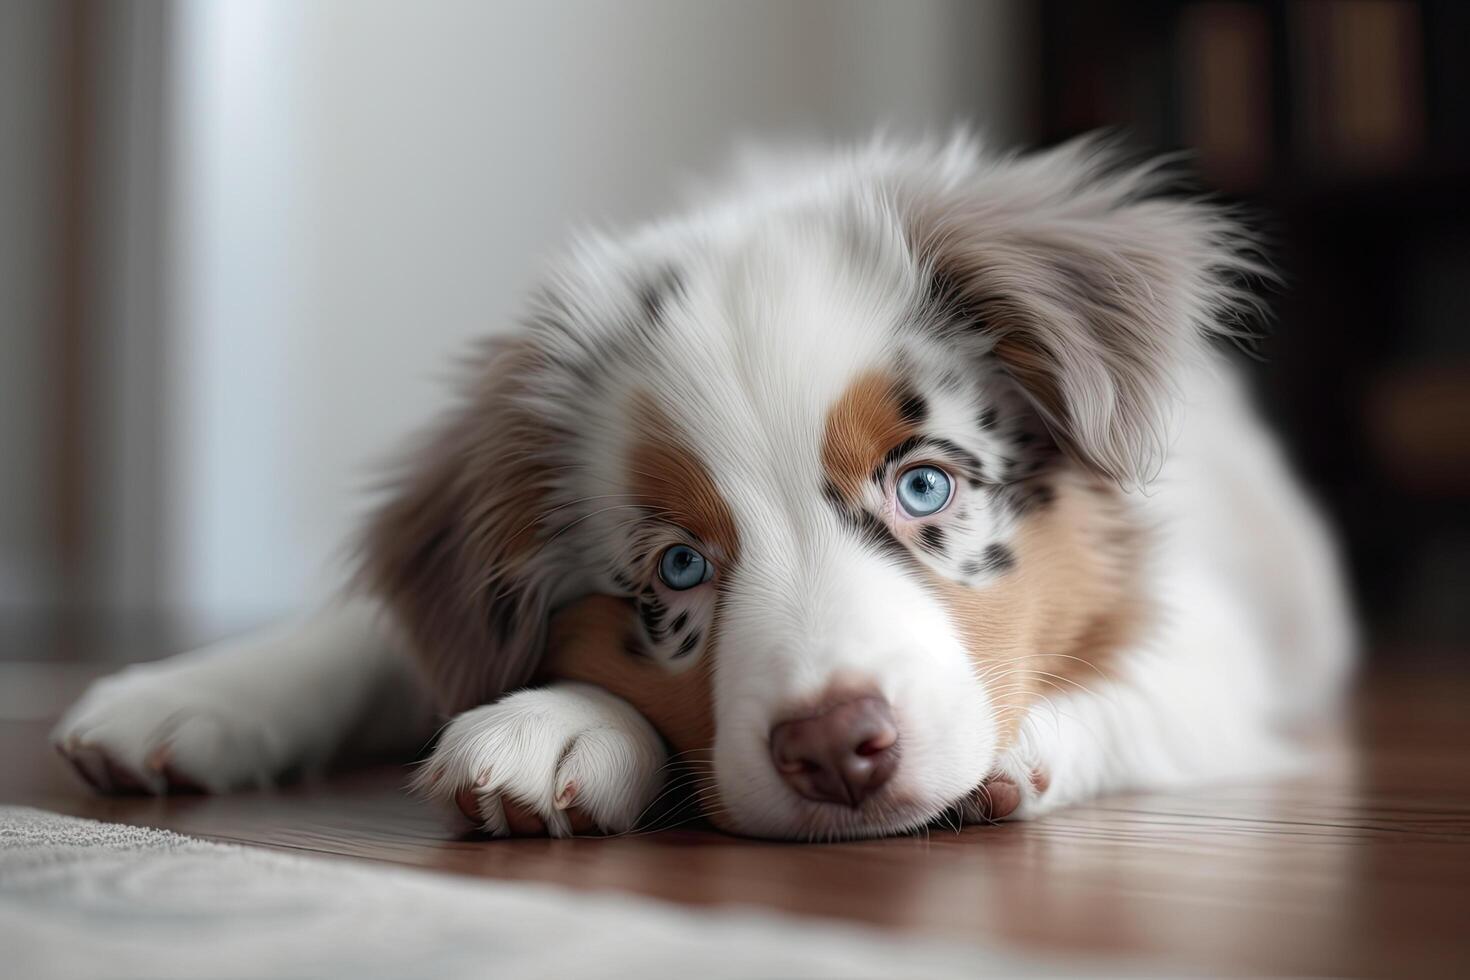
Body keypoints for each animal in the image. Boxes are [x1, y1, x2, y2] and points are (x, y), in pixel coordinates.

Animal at [51, 135, 1352, 846]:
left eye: (924, 484)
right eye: (680, 565)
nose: (838, 749)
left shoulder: (1213, 626)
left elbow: (1143, 682)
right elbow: (379, 635)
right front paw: (186, 694)